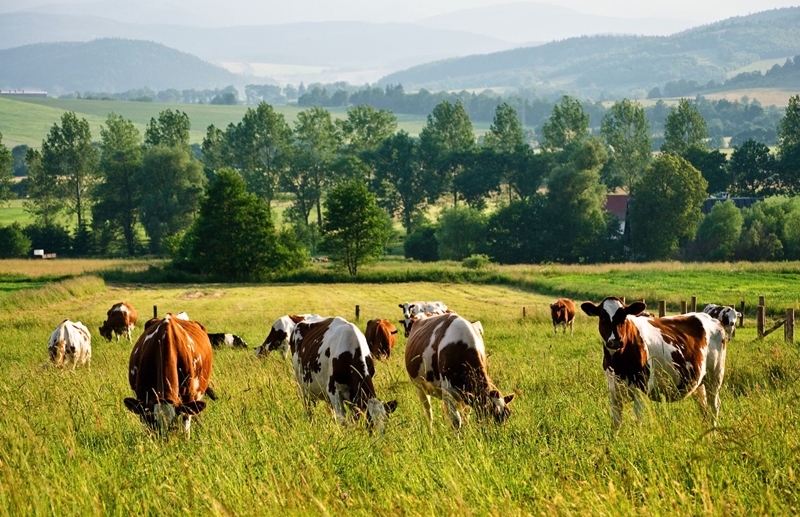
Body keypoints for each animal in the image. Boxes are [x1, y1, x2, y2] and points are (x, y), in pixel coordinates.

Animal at [580, 296, 728, 430]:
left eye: (623, 317)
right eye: (603, 317)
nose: (615, 341)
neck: (618, 364)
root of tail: (710, 318)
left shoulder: (641, 388)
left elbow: (638, 421)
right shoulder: (614, 390)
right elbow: (615, 424)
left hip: (715, 377)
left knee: (714, 406)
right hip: (699, 382)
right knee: (704, 407)